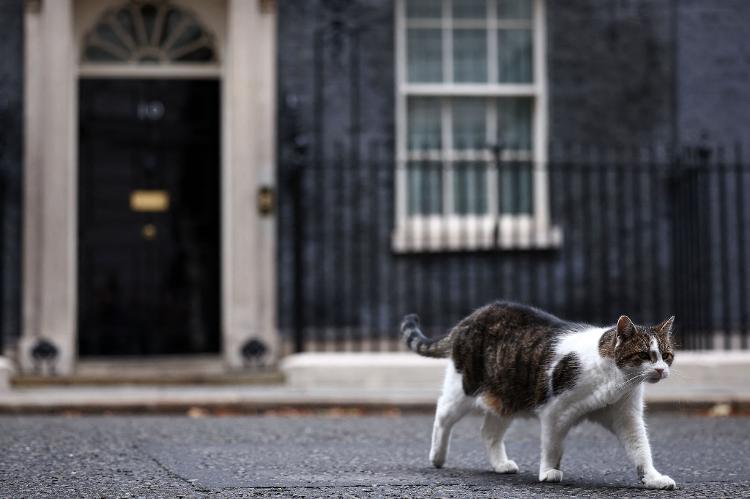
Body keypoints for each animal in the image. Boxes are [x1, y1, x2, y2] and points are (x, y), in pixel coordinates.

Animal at [402, 302, 680, 490]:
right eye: (644, 355)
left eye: (666, 356)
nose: (660, 370)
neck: (615, 381)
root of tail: (472, 316)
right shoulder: (555, 411)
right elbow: (552, 445)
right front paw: (548, 471)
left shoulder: (627, 417)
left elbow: (640, 448)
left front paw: (653, 478)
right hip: (465, 388)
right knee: (442, 415)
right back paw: (437, 456)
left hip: (506, 397)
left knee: (489, 431)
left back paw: (500, 464)